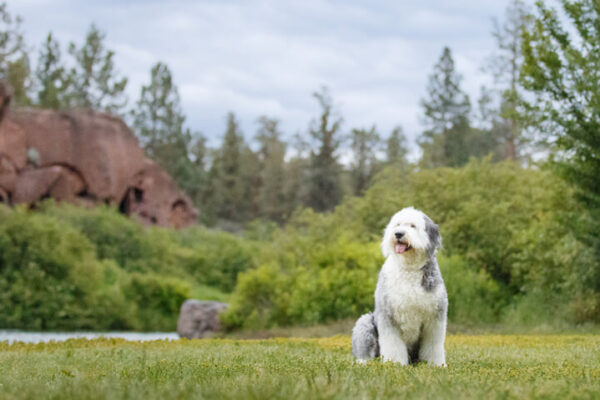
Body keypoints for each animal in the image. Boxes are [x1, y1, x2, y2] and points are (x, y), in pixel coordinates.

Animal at [352, 208, 446, 368]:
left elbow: (433, 345)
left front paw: (435, 364)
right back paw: (363, 361)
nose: (398, 234)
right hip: (365, 323)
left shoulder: (434, 318)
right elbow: (393, 345)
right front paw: (394, 364)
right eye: (398, 224)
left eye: (413, 226)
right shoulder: (388, 315)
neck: (409, 267)